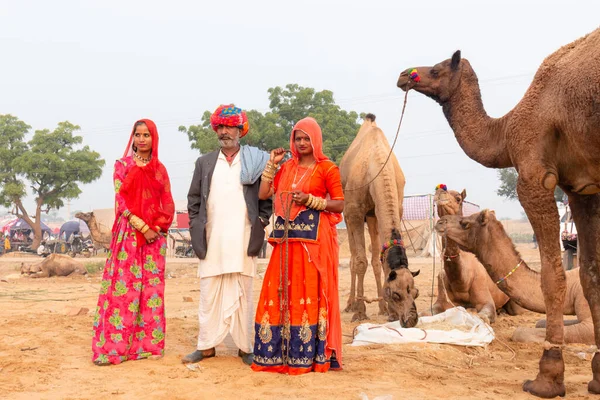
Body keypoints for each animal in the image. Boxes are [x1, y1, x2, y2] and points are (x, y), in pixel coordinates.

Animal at [338, 112, 418, 324]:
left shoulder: (395, 208)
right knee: (353, 257)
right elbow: (359, 261)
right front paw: (360, 312)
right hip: (347, 214)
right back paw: (350, 304)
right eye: (396, 294)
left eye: (415, 292)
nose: (411, 319)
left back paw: (380, 308)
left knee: (375, 257)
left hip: (373, 217)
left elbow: (380, 261)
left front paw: (388, 311)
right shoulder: (354, 212)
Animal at [428, 186, 524, 324]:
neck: (462, 281)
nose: (440, 192)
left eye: (458, 198)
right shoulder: (441, 300)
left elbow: (484, 316)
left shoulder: (484, 297)